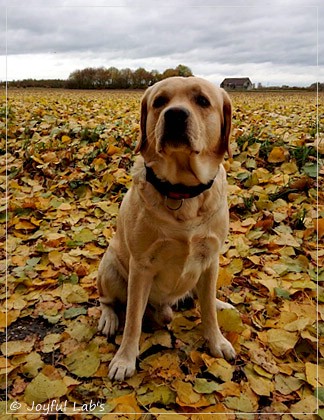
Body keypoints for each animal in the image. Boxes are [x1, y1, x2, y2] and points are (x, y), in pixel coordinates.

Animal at [97, 76, 237, 380]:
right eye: (160, 101)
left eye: (202, 101)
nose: (174, 115)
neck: (182, 192)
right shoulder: (141, 266)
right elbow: (133, 320)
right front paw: (125, 359)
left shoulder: (210, 259)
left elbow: (208, 311)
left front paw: (217, 341)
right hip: (110, 267)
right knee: (108, 301)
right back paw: (109, 319)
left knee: (204, 298)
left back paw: (218, 303)